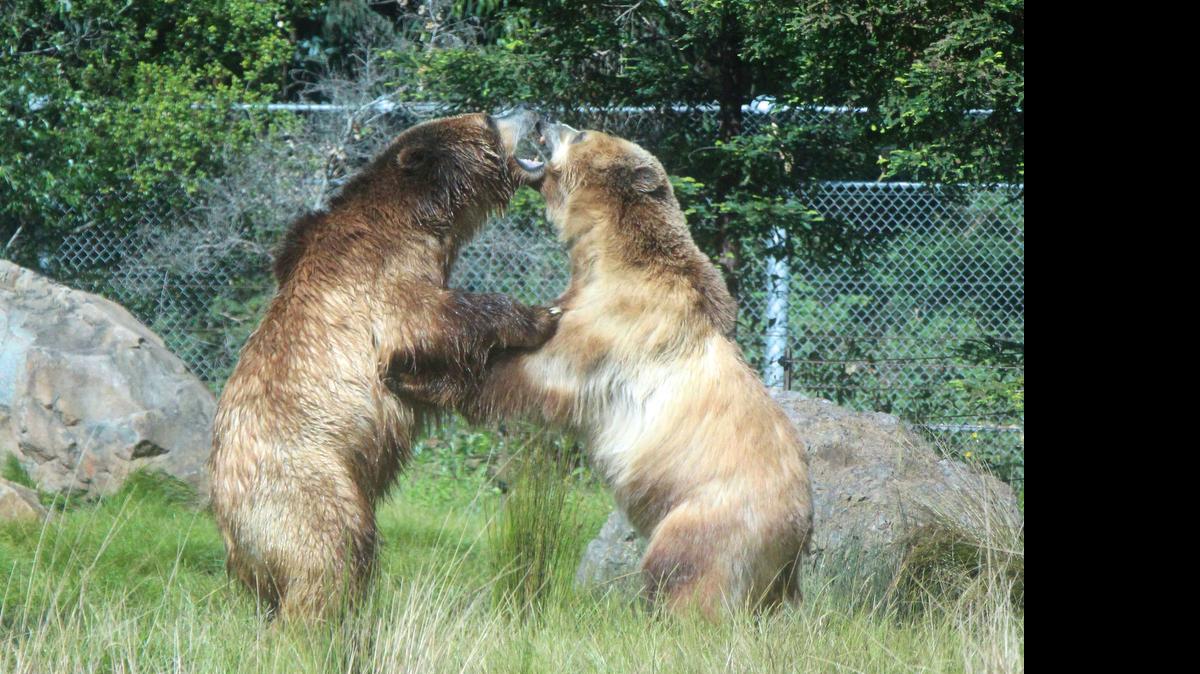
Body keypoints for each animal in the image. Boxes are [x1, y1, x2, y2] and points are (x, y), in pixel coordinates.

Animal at [209, 110, 557, 619]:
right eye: (489, 118)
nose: (531, 111)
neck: (422, 218)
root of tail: (229, 530)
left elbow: (428, 373)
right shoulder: (378, 275)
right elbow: (430, 320)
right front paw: (540, 315)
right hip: (303, 481)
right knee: (333, 548)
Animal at [463, 122, 814, 617]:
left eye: (582, 132)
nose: (546, 121)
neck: (613, 257)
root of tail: (797, 542)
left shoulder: (617, 324)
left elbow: (546, 370)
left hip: (714, 516)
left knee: (682, 568)